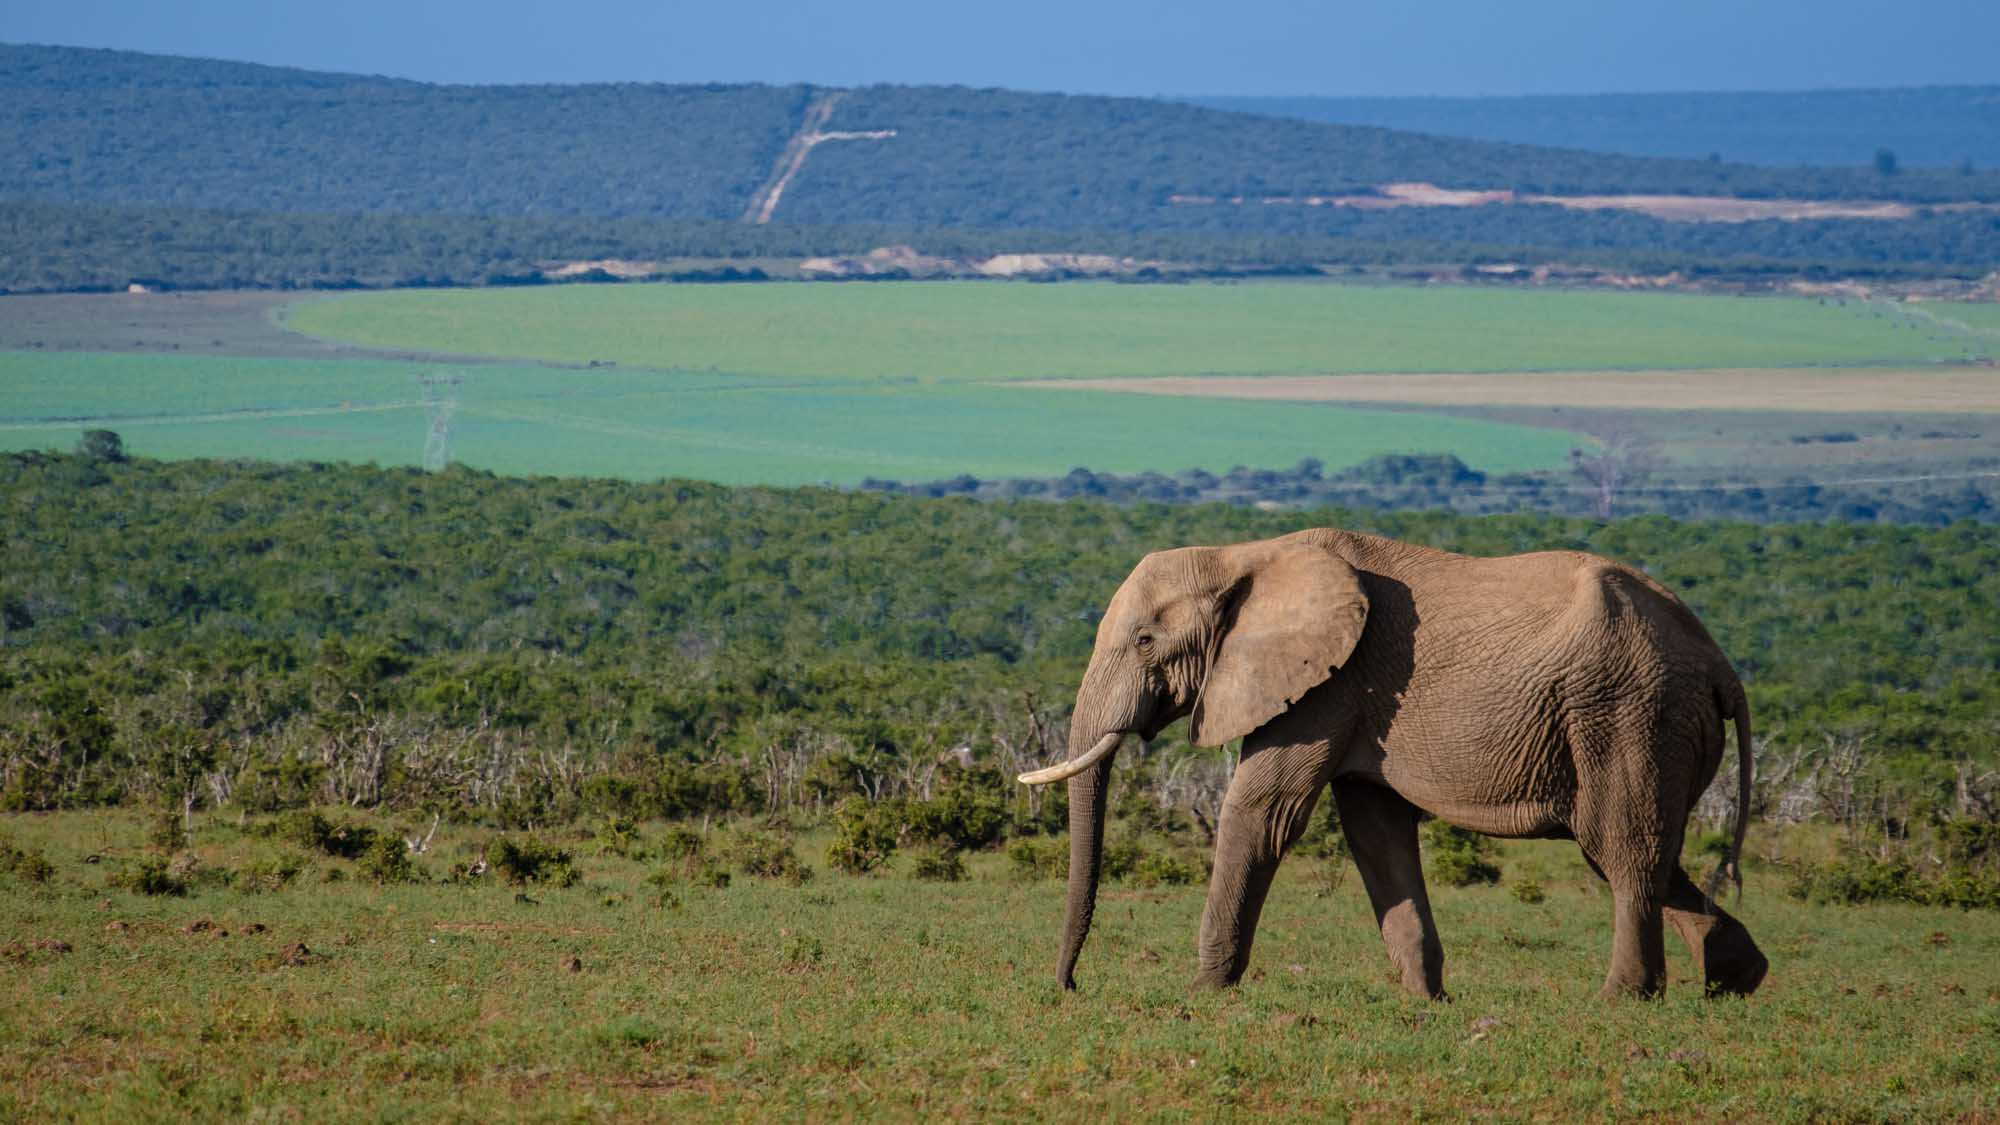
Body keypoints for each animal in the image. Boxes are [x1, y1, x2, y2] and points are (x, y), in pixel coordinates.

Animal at [1017, 527, 1767, 1000]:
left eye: (1145, 640)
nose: (1068, 985)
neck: (1243, 555)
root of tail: (1720, 664)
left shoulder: (1327, 684)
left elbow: (1263, 812)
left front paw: (1201, 992)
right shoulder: (1354, 698)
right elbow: (1375, 832)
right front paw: (1423, 1000)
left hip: (1630, 711)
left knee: (1622, 845)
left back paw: (1622, 999)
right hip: (1650, 721)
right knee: (1632, 851)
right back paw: (1738, 980)